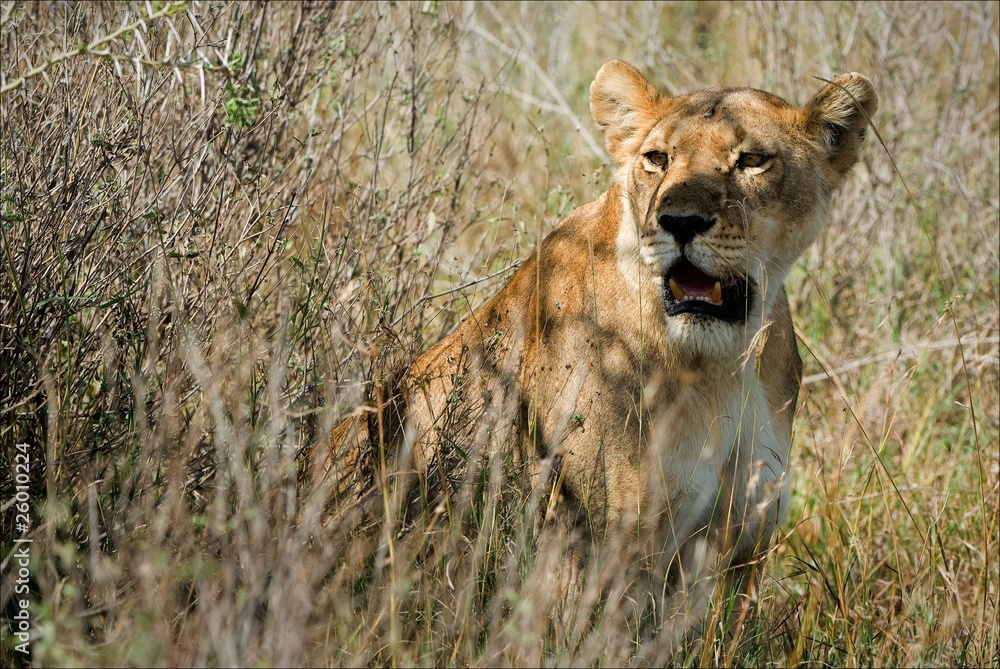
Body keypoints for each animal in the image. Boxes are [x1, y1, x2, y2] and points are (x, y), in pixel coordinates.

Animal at [318, 60, 878, 643]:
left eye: (750, 160)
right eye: (658, 159)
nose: (679, 221)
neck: (722, 365)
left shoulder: (743, 543)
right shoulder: (593, 545)